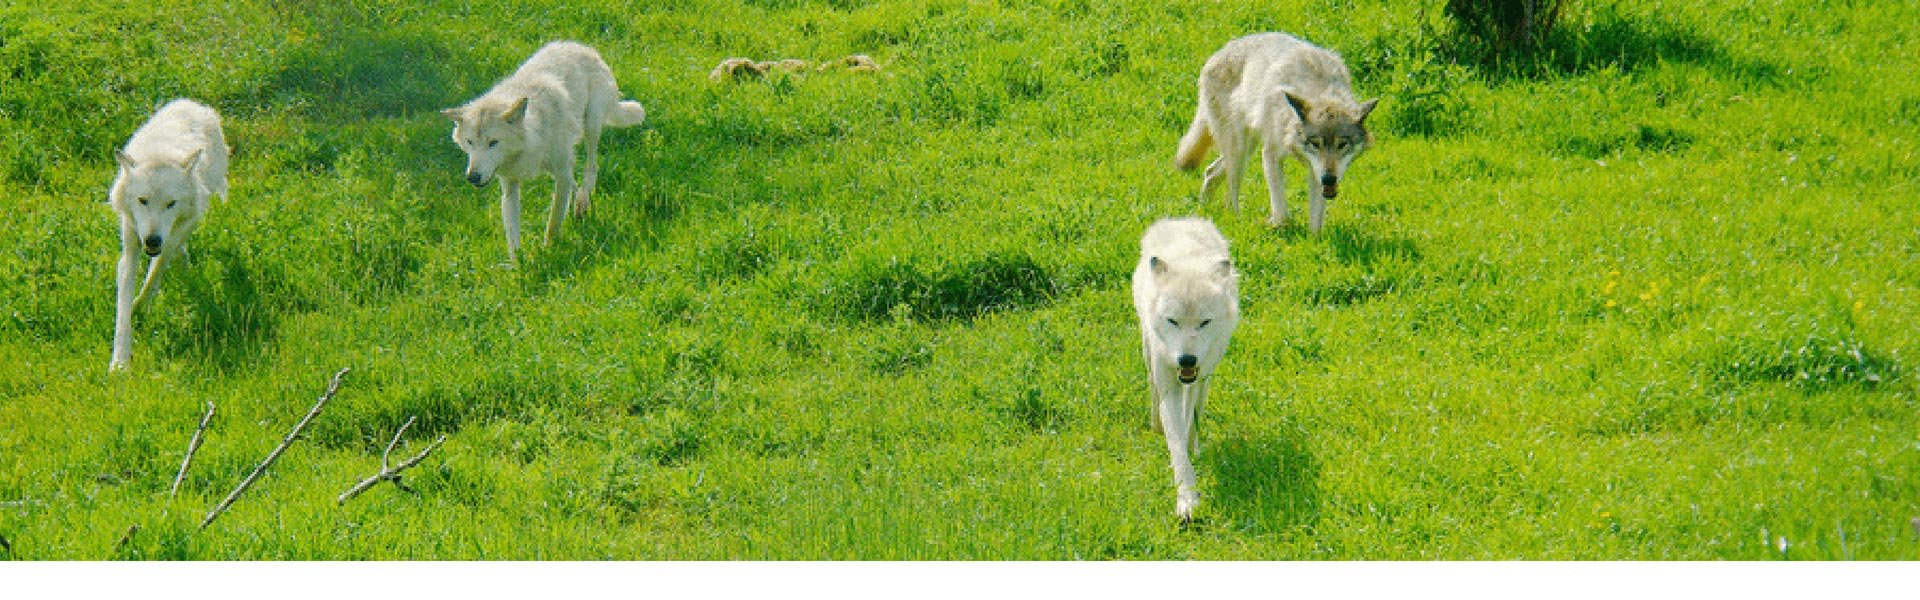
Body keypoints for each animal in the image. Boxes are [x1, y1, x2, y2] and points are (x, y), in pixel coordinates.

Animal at [107, 98, 228, 371]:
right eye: (142, 201)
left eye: (171, 203)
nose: (152, 240)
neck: (159, 155)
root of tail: (193, 104)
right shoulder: (131, 242)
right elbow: (123, 308)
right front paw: (119, 363)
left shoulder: (168, 238)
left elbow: (155, 272)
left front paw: (140, 307)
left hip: (193, 217)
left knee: (175, 249)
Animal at [439, 39, 645, 259]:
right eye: (470, 142)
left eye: (493, 142)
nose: (473, 177)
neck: (533, 136)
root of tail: (581, 47)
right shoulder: (510, 186)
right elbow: (512, 235)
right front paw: (518, 265)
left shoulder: (561, 174)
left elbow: (553, 223)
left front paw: (550, 253)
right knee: (575, 181)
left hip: (591, 125)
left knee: (591, 168)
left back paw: (582, 202)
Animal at [1121, 216, 1244, 519]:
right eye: (1173, 321)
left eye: (1204, 322)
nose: (1187, 360)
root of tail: (1182, 220)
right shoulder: (1168, 382)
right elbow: (1175, 441)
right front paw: (1186, 500)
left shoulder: (1199, 376)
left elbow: (1188, 423)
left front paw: (1191, 451)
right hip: (1148, 351)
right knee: (1153, 391)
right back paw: (1156, 425)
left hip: (1206, 377)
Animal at [1167, 30, 1382, 233]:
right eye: (1315, 143)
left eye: (1342, 144)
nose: (1329, 178)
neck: (1319, 88)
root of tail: (1214, 56)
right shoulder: (1270, 153)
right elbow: (1281, 208)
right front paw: (1278, 225)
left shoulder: (1315, 172)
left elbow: (1316, 220)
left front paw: (1315, 241)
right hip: (1239, 150)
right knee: (1230, 194)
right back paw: (1234, 220)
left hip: (1247, 149)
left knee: (1211, 172)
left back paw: (1203, 210)